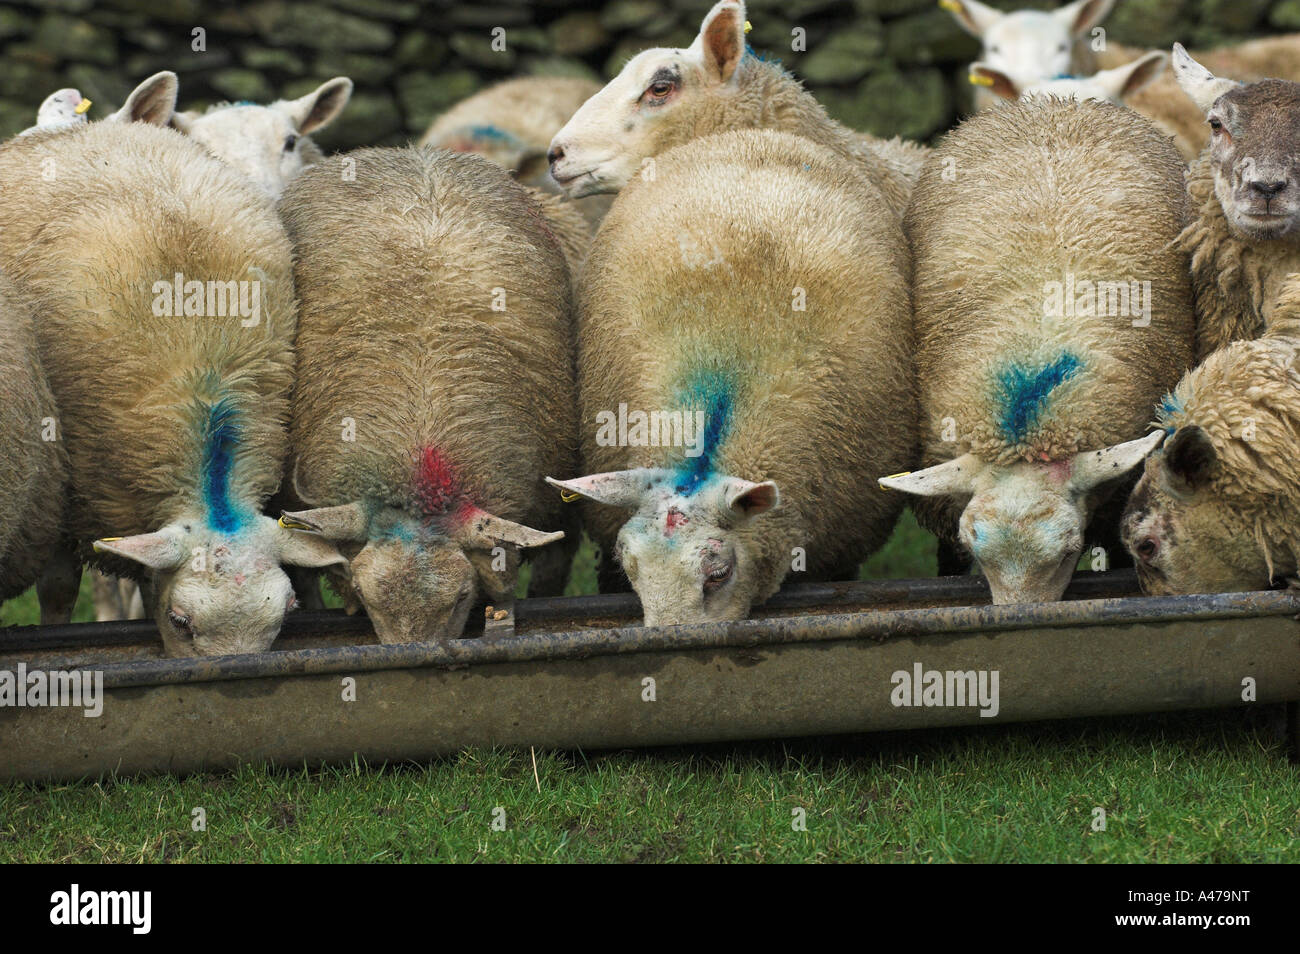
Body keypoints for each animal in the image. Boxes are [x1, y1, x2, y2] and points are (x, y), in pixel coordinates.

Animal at [0, 120, 344, 654]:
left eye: (286, 615)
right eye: (181, 620)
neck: (206, 394)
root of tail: (93, 126)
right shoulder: (66, 492)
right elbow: (60, 588)